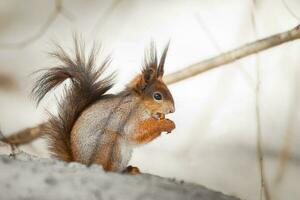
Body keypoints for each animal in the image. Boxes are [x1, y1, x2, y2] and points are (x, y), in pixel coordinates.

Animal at [13, 38, 176, 173]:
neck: (140, 104)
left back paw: (130, 169)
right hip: (109, 145)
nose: (172, 110)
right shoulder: (126, 115)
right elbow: (135, 132)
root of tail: (81, 162)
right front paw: (166, 124)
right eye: (157, 96)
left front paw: (164, 119)